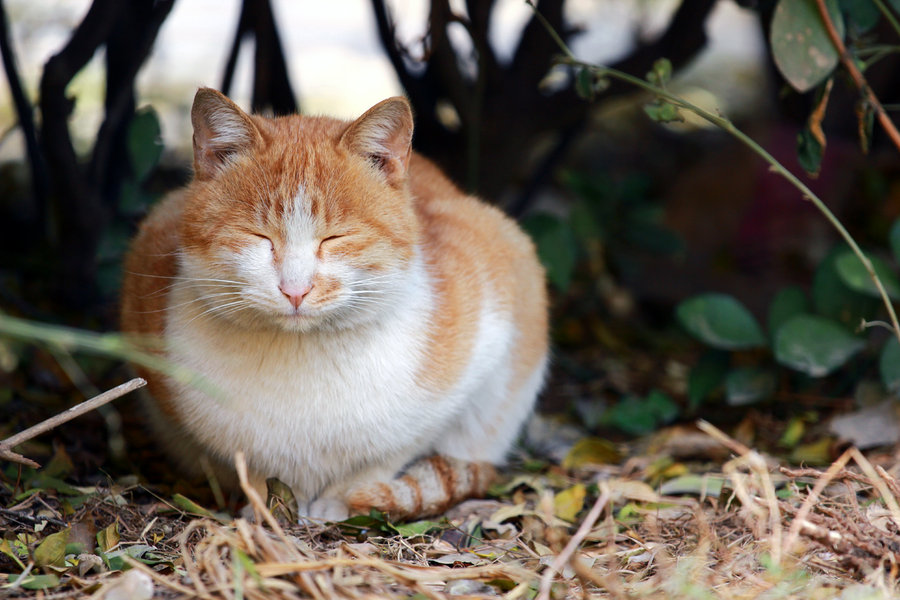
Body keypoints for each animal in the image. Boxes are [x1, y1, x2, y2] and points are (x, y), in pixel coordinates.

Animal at [119, 88, 548, 520]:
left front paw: (339, 501)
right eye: (259, 237)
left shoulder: (487, 331)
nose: (295, 289)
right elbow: (251, 467)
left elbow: (392, 452)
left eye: (335, 238)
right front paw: (266, 510)